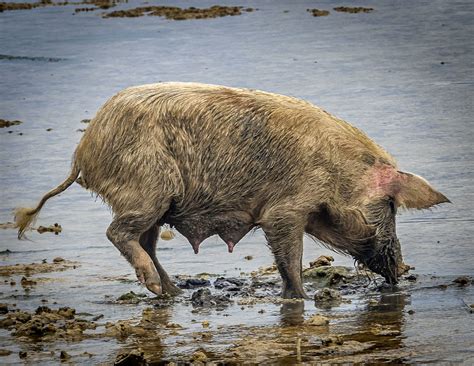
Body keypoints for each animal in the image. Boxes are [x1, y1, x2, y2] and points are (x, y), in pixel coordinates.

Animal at [14, 82, 450, 298]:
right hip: (147, 188)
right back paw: (157, 286)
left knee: (146, 241)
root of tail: (84, 150)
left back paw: (171, 292)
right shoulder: (284, 209)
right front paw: (302, 299)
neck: (339, 173)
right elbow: (289, 257)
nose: (402, 269)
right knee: (116, 232)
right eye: (391, 206)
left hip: (156, 202)